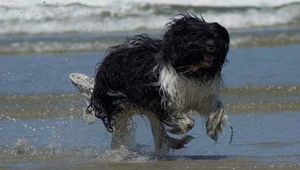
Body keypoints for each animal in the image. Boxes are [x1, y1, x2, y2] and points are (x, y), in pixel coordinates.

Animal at [69, 12, 230, 154]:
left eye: (216, 37)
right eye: (198, 36)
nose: (212, 46)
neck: (190, 70)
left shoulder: (201, 95)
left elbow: (217, 107)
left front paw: (213, 126)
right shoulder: (160, 99)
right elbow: (186, 121)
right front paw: (178, 128)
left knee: (158, 132)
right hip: (120, 105)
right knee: (123, 133)